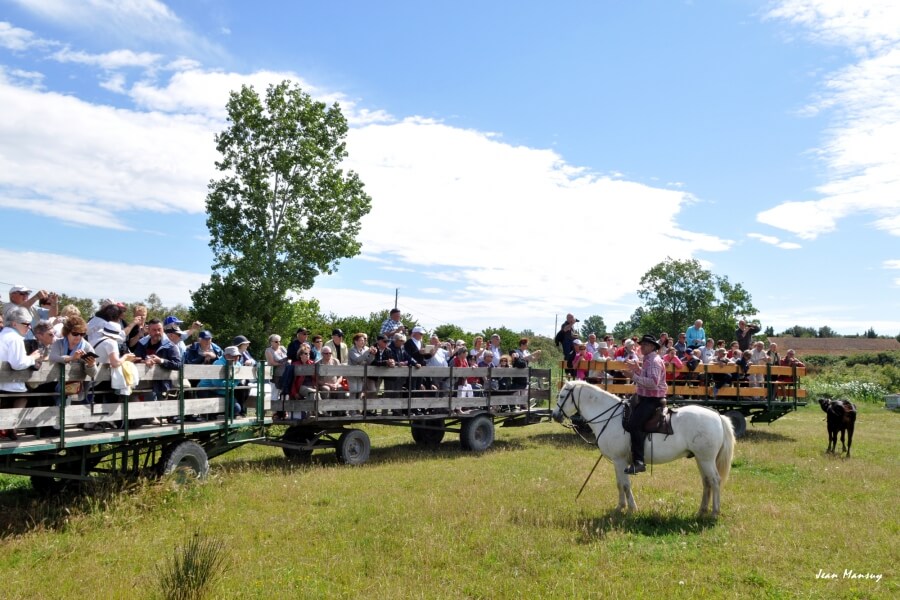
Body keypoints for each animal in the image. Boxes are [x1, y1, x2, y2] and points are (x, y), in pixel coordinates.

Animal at [552, 380, 735, 517]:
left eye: (562, 396)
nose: (555, 415)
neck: (609, 416)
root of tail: (718, 416)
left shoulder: (620, 461)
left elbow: (625, 485)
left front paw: (632, 509)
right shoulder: (617, 462)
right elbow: (619, 484)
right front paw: (620, 507)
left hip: (706, 459)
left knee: (715, 480)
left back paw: (714, 513)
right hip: (700, 458)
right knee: (706, 482)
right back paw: (702, 511)